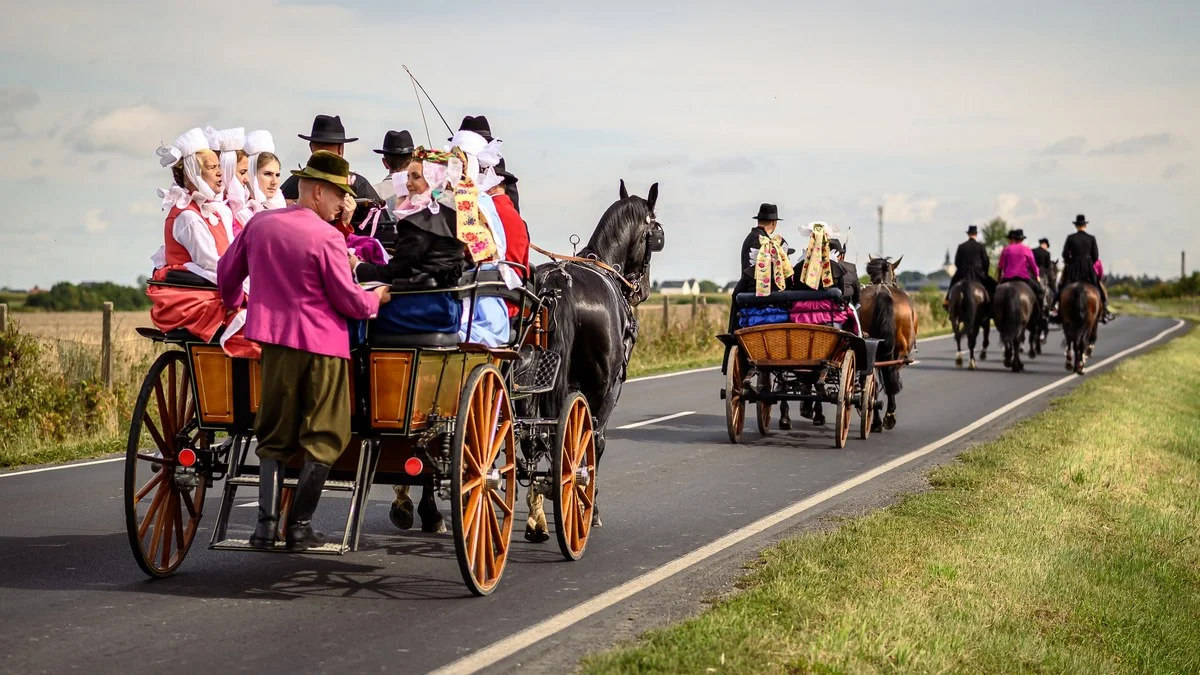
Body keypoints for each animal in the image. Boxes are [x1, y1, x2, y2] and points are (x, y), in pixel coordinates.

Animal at [520, 180, 662, 540]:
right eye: (655, 233)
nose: (643, 289)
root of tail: (556, 285)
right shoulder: (610, 389)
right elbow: (594, 442)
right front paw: (590, 508)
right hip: (599, 387)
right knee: (584, 442)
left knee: (529, 437)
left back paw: (536, 517)